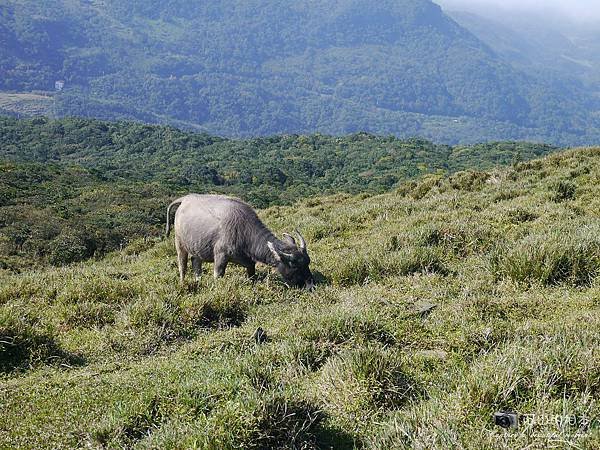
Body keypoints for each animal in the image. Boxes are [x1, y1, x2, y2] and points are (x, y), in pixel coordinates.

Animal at [164, 193, 314, 288]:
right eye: (295, 266)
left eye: (307, 262)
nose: (311, 284)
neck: (243, 231)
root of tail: (185, 199)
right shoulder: (221, 256)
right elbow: (218, 275)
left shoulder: (249, 262)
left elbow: (252, 274)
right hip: (179, 243)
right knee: (182, 266)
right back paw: (183, 283)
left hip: (197, 247)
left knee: (195, 263)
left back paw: (198, 282)